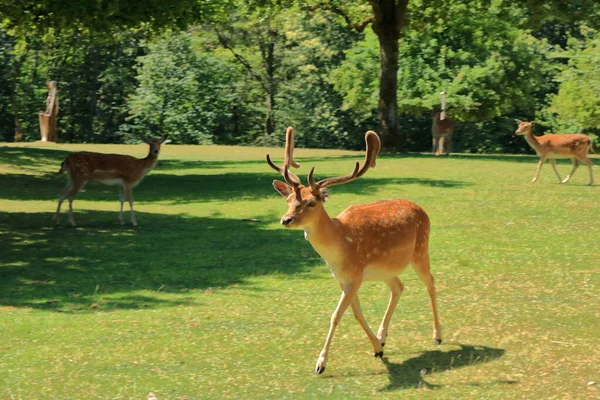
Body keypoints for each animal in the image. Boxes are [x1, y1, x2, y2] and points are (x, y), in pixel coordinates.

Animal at [266, 126, 440, 374]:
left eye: (312, 203)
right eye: (289, 200)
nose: (286, 219)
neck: (340, 245)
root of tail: (422, 209)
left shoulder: (355, 275)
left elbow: (336, 315)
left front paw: (320, 364)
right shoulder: (343, 278)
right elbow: (356, 313)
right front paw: (377, 348)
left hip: (421, 249)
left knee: (430, 282)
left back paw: (437, 336)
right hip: (387, 269)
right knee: (398, 287)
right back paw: (383, 337)